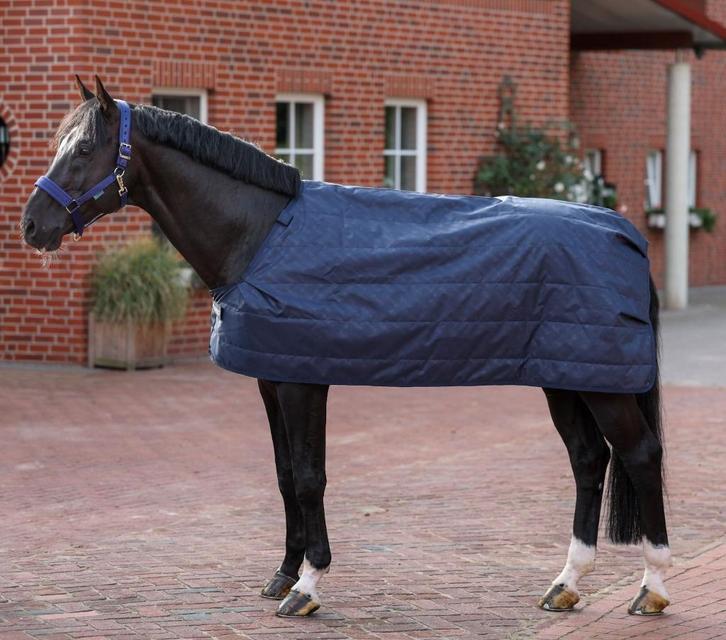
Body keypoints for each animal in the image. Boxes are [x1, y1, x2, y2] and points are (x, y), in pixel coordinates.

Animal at [22, 76, 671, 618]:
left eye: (84, 150)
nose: (32, 225)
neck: (260, 236)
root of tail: (624, 233)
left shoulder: (303, 380)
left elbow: (311, 477)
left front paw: (307, 587)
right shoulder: (272, 377)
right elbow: (286, 475)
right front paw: (283, 574)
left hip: (601, 385)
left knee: (640, 455)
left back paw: (652, 587)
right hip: (567, 376)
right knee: (588, 460)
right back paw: (567, 582)